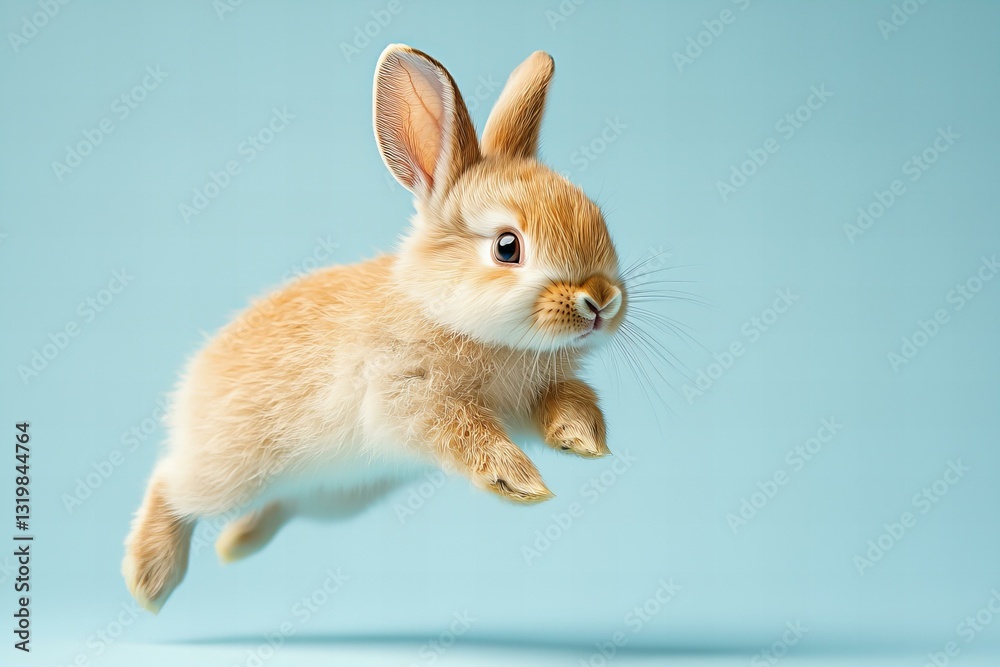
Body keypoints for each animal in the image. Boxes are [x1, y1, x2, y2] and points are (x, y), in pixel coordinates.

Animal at [122, 44, 627, 613]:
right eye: (507, 247)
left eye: (599, 217)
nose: (602, 302)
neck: (451, 314)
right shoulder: (407, 394)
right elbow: (464, 430)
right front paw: (517, 480)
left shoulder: (532, 394)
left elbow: (565, 399)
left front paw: (582, 439)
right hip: (230, 470)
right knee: (169, 483)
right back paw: (149, 580)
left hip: (329, 499)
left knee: (275, 507)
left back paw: (236, 545)